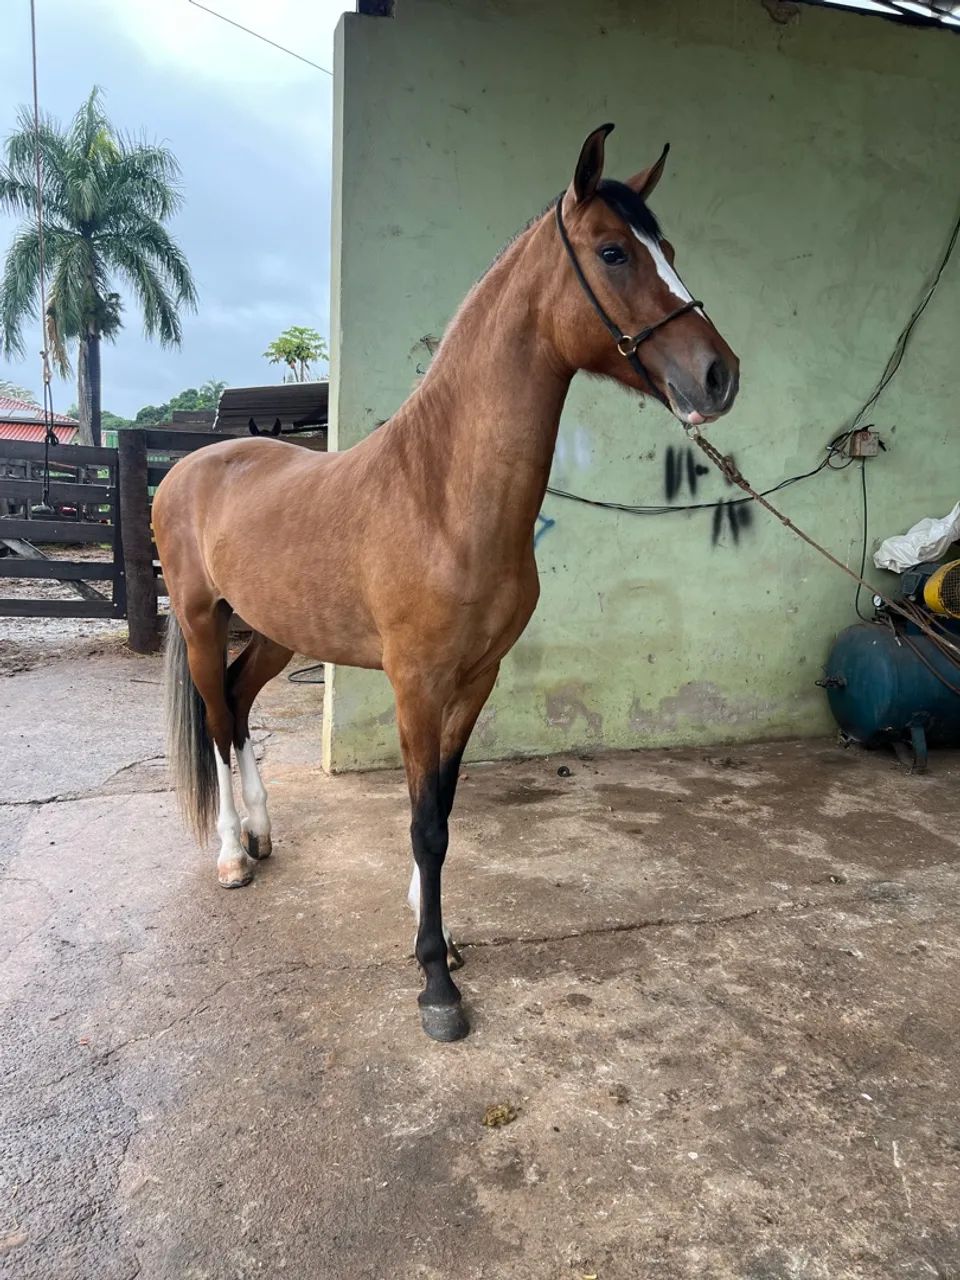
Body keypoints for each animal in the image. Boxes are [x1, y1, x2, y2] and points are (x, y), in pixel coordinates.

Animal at [154, 123, 739, 1042]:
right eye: (613, 252)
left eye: (669, 251)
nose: (719, 375)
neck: (440, 495)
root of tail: (189, 467)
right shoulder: (417, 683)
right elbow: (425, 821)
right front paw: (435, 979)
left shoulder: (475, 679)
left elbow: (446, 813)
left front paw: (440, 935)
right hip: (203, 618)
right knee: (217, 720)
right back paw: (230, 857)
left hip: (278, 630)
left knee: (243, 708)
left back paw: (261, 834)